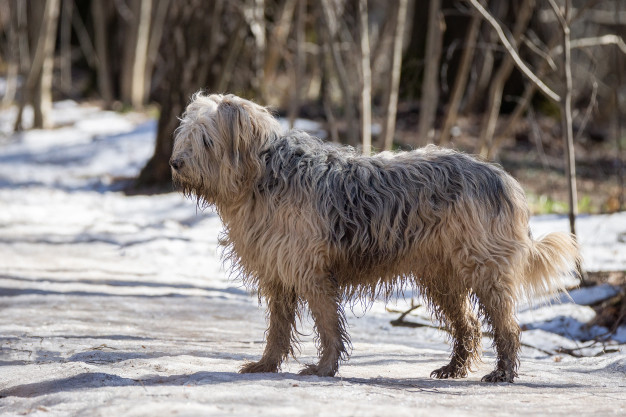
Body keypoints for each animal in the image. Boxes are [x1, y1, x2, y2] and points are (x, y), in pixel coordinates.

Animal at [168, 92, 576, 382]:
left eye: (206, 140)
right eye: (184, 136)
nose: (174, 163)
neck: (263, 175)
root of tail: (502, 178)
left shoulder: (312, 274)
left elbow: (328, 326)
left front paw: (324, 369)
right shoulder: (278, 274)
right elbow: (278, 329)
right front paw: (266, 365)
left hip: (484, 270)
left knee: (507, 327)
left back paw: (503, 372)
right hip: (442, 277)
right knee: (470, 325)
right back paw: (454, 369)